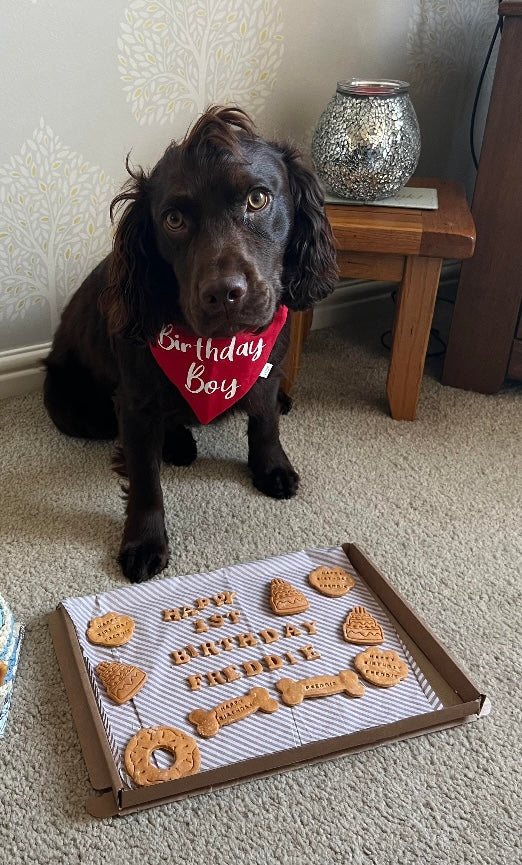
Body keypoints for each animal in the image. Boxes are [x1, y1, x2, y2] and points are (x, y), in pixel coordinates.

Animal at [43, 106, 338, 580]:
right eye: (174, 220)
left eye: (258, 199)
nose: (224, 294)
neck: (214, 352)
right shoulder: (134, 404)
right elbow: (145, 480)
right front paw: (144, 541)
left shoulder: (266, 367)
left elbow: (265, 421)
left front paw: (271, 466)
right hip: (75, 410)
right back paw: (177, 443)